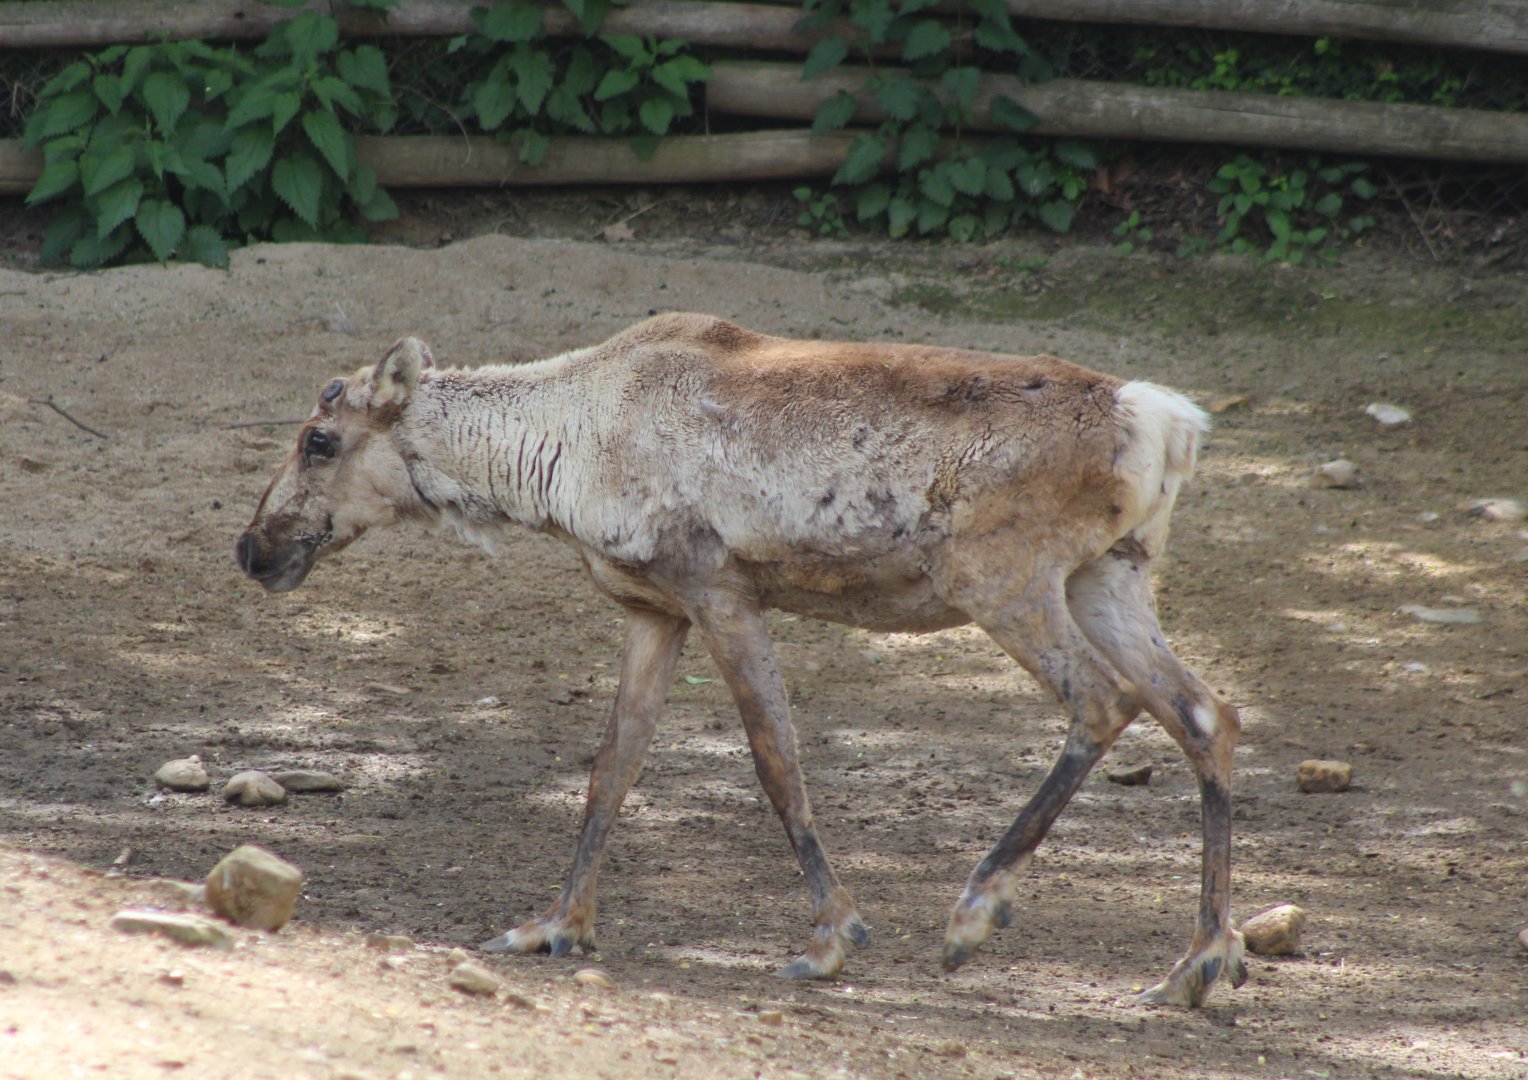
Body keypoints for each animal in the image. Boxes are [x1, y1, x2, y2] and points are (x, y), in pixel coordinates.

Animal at [236, 313, 1246, 1007]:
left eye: (319, 439)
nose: (252, 548)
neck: (560, 457)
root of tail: (1160, 422)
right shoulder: (654, 610)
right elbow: (611, 770)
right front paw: (555, 926)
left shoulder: (720, 590)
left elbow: (776, 764)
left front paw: (832, 937)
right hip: (1110, 573)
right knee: (1205, 712)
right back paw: (1198, 962)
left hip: (1001, 575)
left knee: (1105, 702)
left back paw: (973, 912)